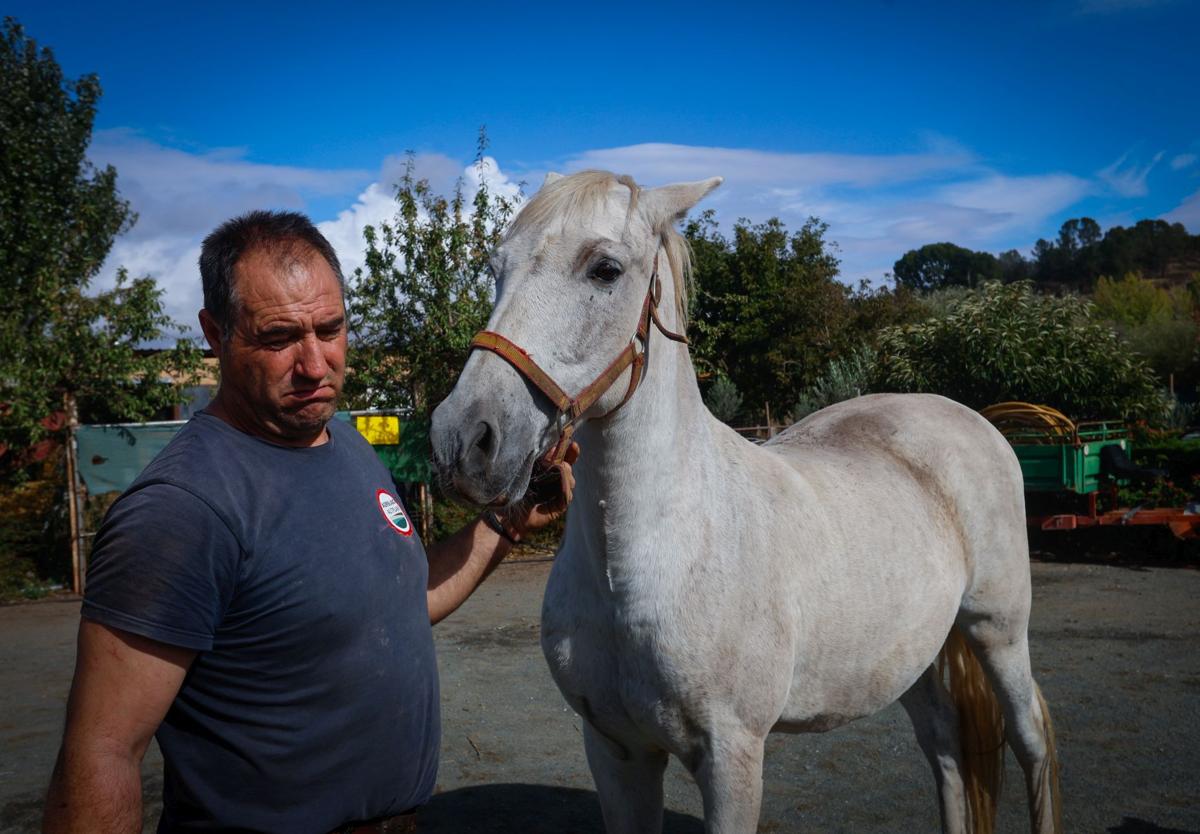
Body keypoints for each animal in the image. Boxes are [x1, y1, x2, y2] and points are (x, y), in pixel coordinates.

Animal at [429, 171, 1060, 834]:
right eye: (496, 268)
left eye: (605, 269)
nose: (464, 439)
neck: (649, 561)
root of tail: (974, 420)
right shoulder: (615, 750)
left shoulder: (732, 756)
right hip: (909, 654)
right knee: (944, 749)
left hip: (997, 632)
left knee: (1030, 739)